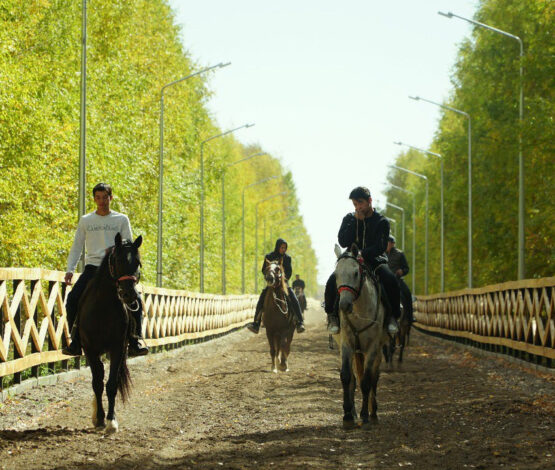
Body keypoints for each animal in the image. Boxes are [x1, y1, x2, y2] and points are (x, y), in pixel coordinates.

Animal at [78, 232, 143, 434]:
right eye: (117, 260)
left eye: (138, 262)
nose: (129, 295)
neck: (102, 308)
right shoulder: (90, 349)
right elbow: (97, 383)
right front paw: (99, 418)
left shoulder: (118, 348)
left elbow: (112, 384)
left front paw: (111, 421)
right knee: (97, 377)